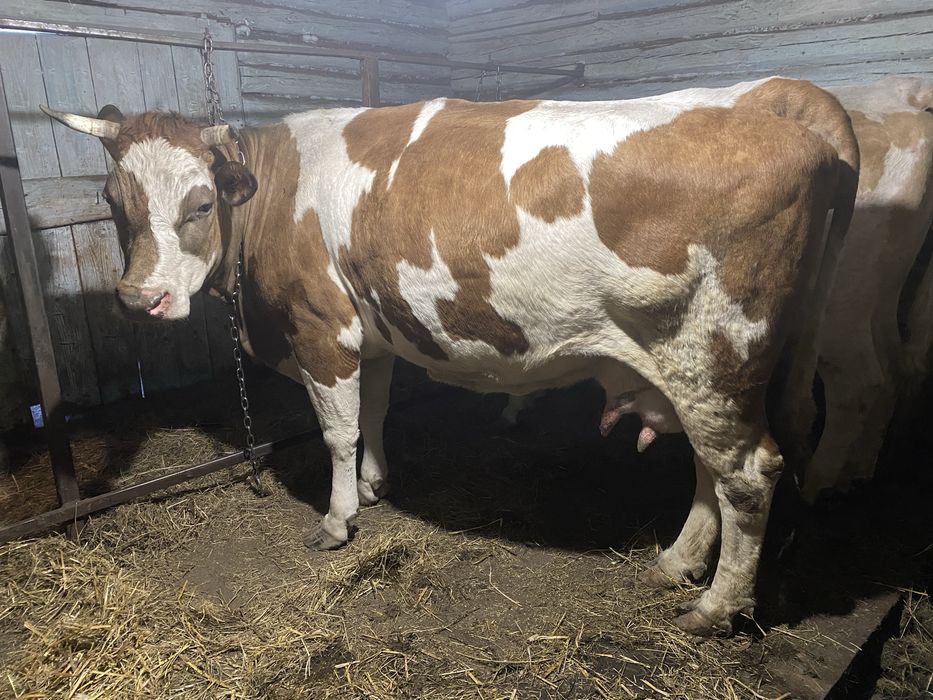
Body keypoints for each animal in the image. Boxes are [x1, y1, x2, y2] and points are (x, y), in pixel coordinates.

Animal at [42, 75, 858, 636]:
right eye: (114, 201)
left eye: (201, 203)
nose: (139, 299)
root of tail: (788, 104)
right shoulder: (369, 330)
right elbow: (374, 410)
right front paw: (375, 483)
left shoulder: (322, 330)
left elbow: (336, 430)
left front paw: (338, 518)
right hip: (698, 367)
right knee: (709, 469)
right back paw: (674, 565)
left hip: (716, 351)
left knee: (746, 475)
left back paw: (716, 607)